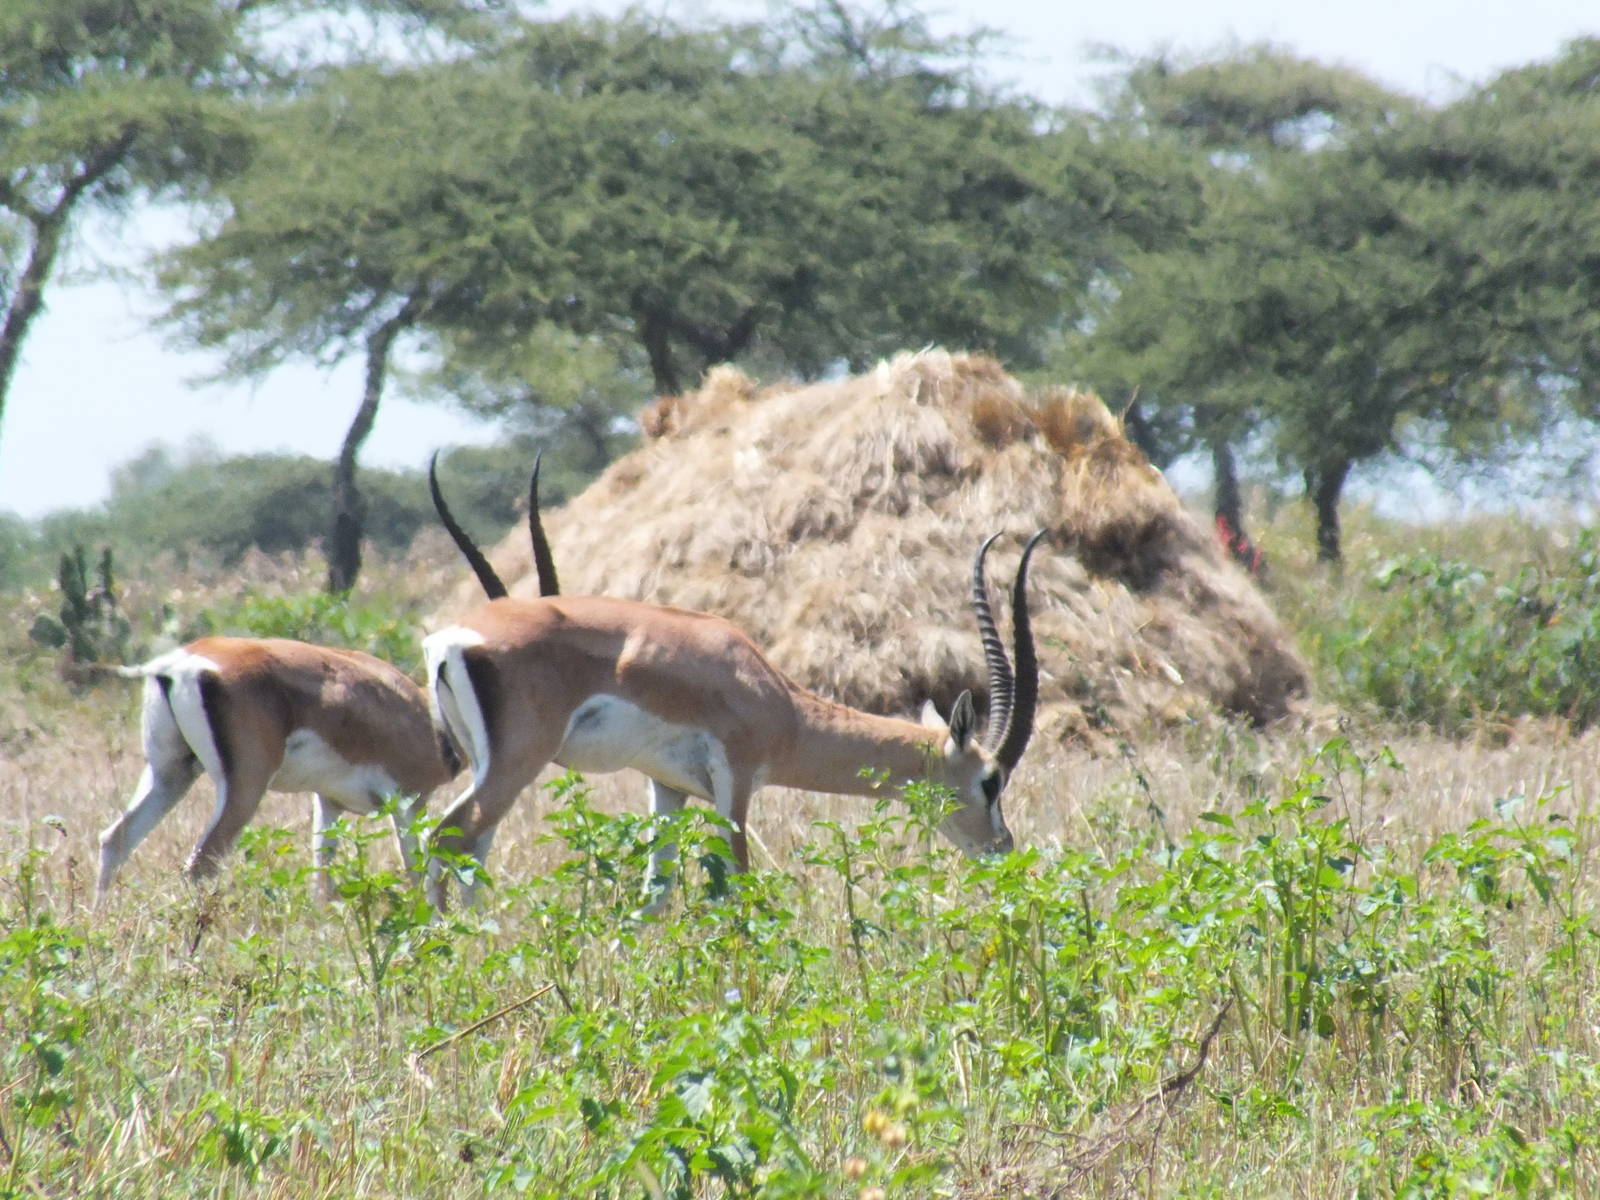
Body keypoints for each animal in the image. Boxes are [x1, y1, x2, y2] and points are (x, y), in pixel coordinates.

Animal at [425, 473, 1044, 910]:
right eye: (991, 781)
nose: (1003, 849)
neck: (777, 698)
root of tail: (457, 638)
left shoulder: (667, 789)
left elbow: (653, 900)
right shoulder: (737, 783)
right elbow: (737, 886)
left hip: (487, 766)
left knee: (468, 850)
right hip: (517, 764)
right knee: (446, 839)